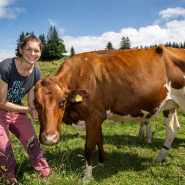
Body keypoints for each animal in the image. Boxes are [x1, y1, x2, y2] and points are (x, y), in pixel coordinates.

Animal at [34, 45, 184, 180]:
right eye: (36, 103)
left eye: (63, 102)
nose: (49, 138)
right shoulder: (98, 116)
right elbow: (99, 139)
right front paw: (101, 161)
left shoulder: (93, 116)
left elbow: (89, 147)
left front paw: (87, 176)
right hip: (169, 106)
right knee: (172, 129)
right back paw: (160, 157)